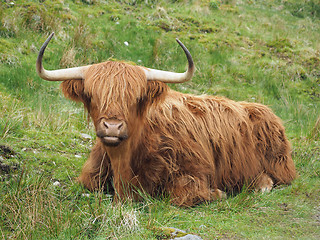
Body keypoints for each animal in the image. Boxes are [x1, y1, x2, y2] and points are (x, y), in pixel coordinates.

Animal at [35, 32, 296, 207]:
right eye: (91, 95)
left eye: (137, 97)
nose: (112, 126)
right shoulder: (92, 175)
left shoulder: (194, 172)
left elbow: (183, 195)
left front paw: (219, 193)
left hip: (279, 163)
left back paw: (260, 184)